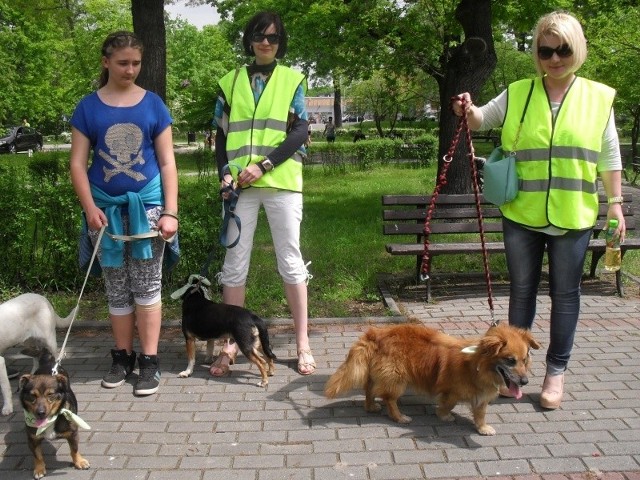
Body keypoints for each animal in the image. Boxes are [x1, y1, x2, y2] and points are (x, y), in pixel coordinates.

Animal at [18, 350, 90, 478]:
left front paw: (79, 462)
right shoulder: (32, 439)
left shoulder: (72, 434)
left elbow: (74, 449)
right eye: (32, 396)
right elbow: (38, 456)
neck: (50, 420)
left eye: (50, 394)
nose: (40, 412)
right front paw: (39, 469)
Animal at [324, 322, 540, 436]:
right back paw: (399, 416)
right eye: (510, 360)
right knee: (389, 399)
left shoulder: (481, 398)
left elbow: (480, 414)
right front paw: (444, 415)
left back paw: (370, 407)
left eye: (525, 359)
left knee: (369, 389)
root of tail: (377, 333)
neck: (477, 365)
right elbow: (448, 405)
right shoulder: (451, 392)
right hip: (397, 379)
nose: (525, 382)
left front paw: (482, 428)